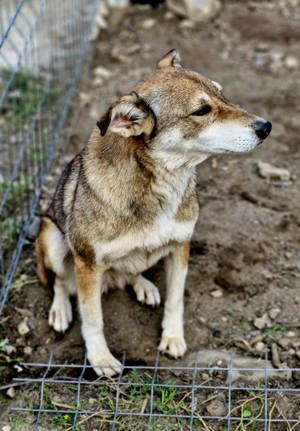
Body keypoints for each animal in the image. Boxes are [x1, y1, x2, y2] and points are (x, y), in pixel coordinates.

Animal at [35, 49, 272, 376]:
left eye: (222, 94)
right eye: (201, 110)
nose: (266, 127)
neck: (158, 185)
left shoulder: (181, 246)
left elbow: (175, 299)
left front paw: (172, 338)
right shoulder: (87, 264)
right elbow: (93, 318)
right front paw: (100, 359)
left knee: (132, 271)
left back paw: (144, 286)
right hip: (52, 238)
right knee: (58, 281)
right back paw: (60, 311)